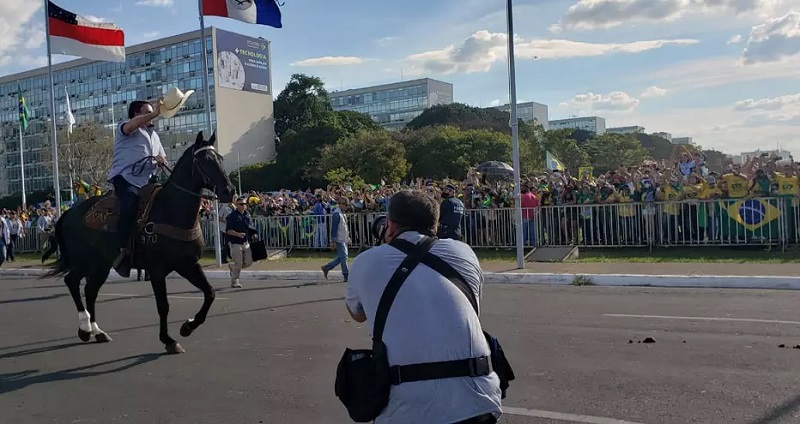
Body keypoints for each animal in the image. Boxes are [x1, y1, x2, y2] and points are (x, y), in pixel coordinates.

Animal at [44, 132, 236, 354]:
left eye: (220, 159)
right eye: (205, 160)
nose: (229, 191)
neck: (171, 211)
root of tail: (68, 213)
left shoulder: (188, 265)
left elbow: (210, 293)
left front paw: (188, 326)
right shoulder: (157, 269)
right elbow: (163, 305)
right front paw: (168, 340)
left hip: (101, 266)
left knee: (90, 291)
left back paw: (98, 332)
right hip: (84, 261)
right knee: (72, 282)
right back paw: (85, 328)